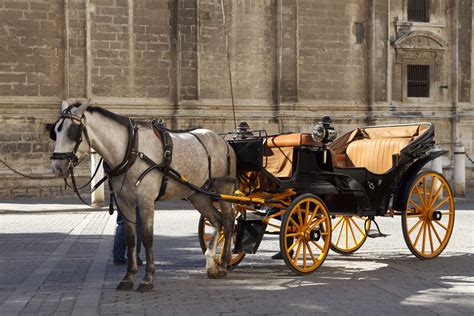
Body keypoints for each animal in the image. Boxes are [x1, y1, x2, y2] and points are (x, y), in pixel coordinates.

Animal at [51, 100, 237, 292]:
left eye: (73, 131)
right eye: (55, 131)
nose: (57, 167)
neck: (131, 150)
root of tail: (223, 141)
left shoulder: (146, 201)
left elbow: (147, 238)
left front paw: (148, 279)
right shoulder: (125, 203)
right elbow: (131, 239)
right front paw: (128, 277)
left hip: (223, 188)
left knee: (229, 220)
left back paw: (224, 264)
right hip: (197, 194)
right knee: (217, 221)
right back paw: (211, 262)